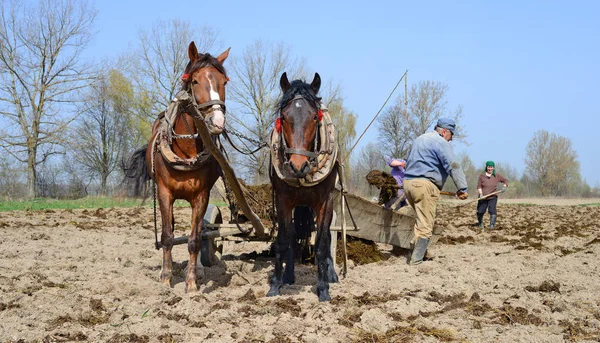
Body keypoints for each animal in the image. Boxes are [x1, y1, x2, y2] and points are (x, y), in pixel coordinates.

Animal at [123, 41, 230, 294]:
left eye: (224, 81)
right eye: (195, 81)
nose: (217, 122)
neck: (186, 152)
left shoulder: (202, 195)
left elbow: (194, 239)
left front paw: (191, 283)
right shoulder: (165, 193)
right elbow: (167, 236)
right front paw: (165, 279)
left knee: (202, 232)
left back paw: (199, 269)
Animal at [266, 72, 338, 300]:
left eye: (314, 117)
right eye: (283, 117)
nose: (298, 165)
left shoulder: (326, 202)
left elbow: (322, 242)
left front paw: (323, 288)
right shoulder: (283, 200)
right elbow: (283, 239)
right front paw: (276, 284)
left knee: (329, 235)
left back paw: (332, 274)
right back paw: (289, 275)